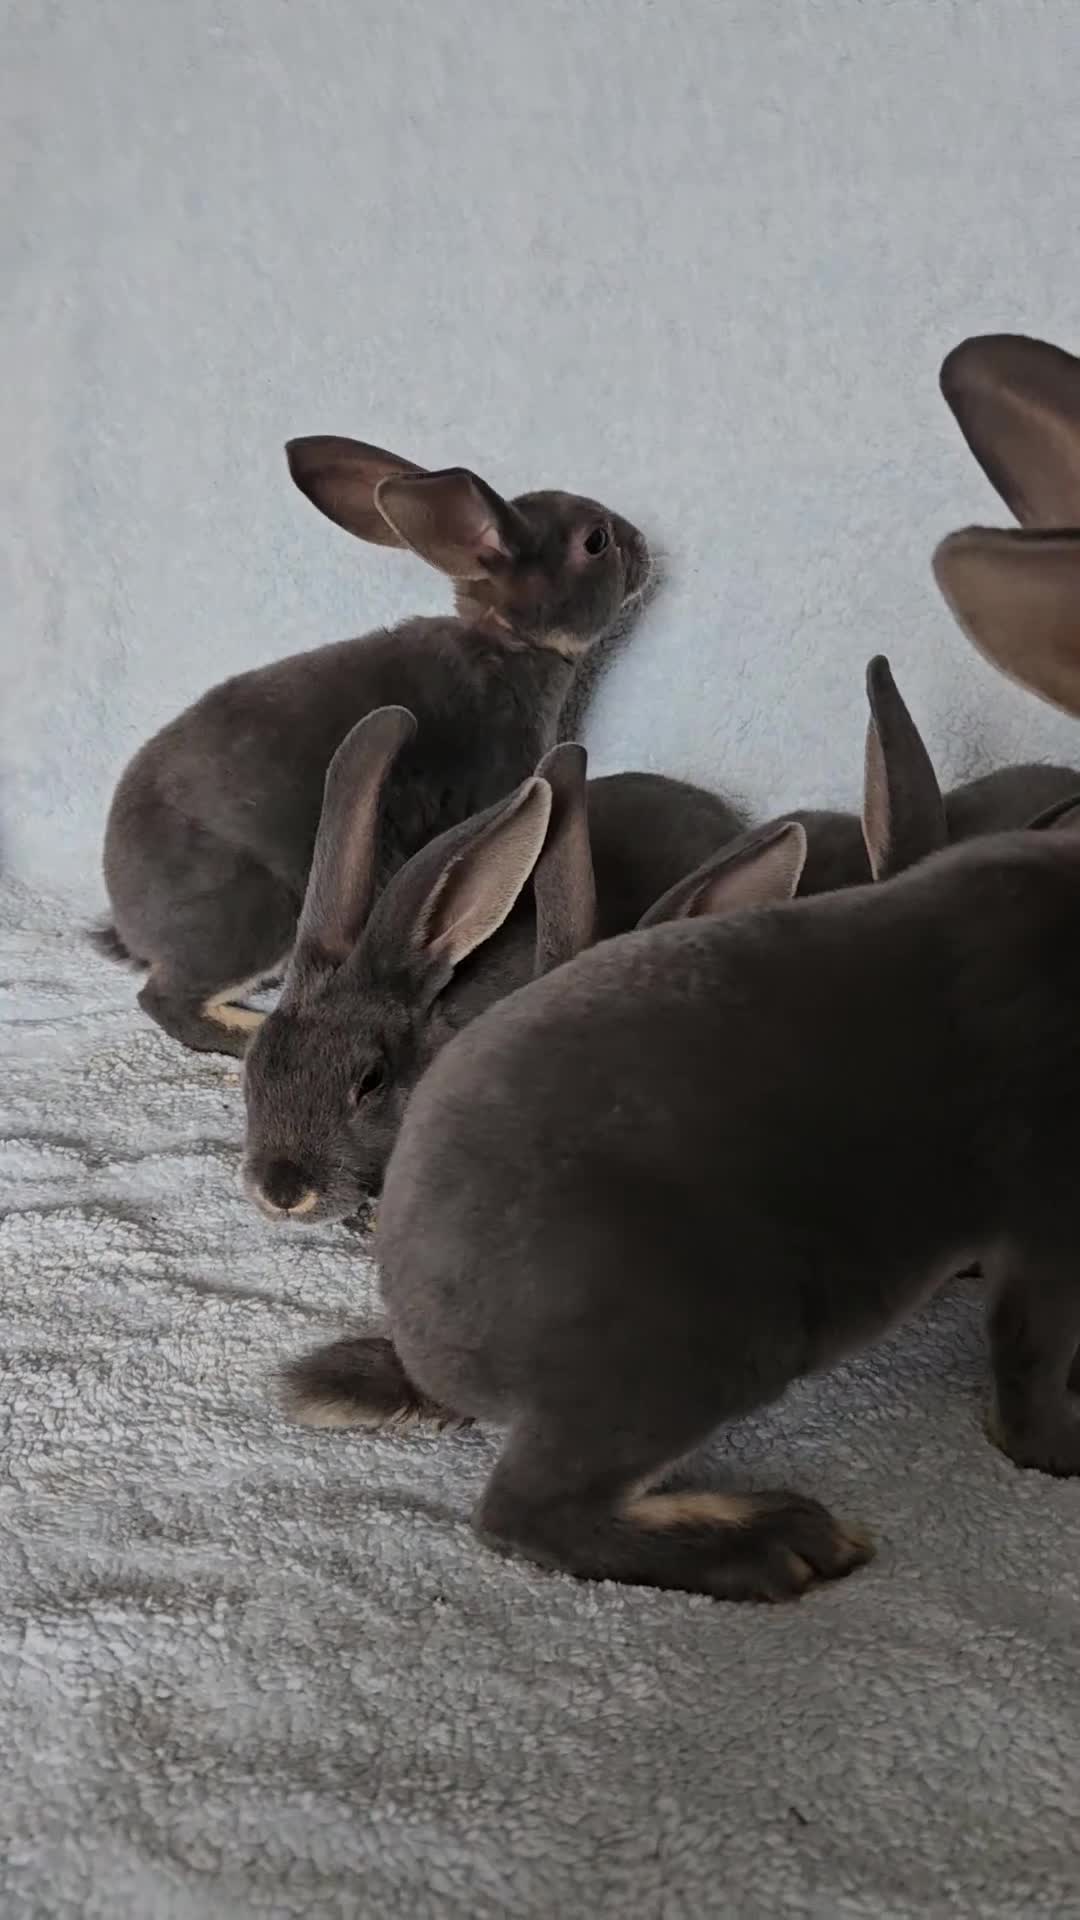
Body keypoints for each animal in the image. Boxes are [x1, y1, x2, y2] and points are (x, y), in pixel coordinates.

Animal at [94, 436, 650, 1056]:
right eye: (595, 541)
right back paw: (250, 1032)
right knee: (167, 1002)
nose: (646, 549)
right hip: (255, 917)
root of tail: (130, 921)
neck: (507, 642)